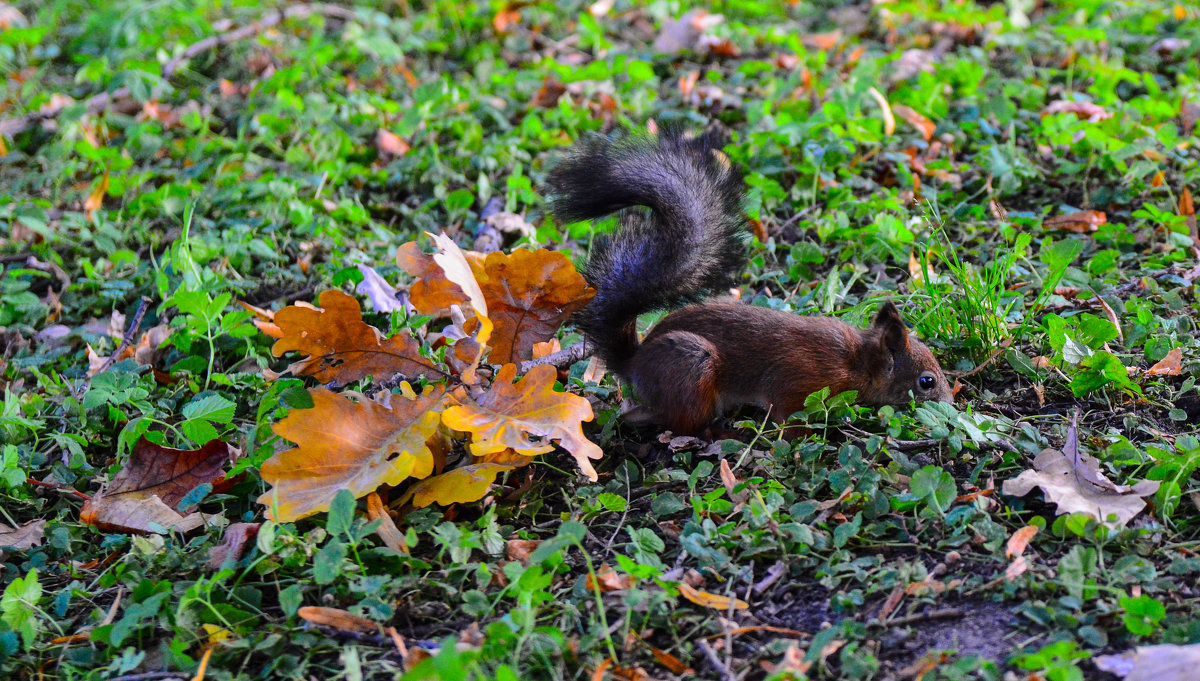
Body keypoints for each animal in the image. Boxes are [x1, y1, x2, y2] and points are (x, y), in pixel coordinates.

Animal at [549, 126, 950, 436]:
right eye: (926, 382)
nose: (951, 403)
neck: (856, 361)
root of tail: (634, 365)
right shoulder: (799, 381)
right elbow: (787, 414)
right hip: (691, 367)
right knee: (676, 422)